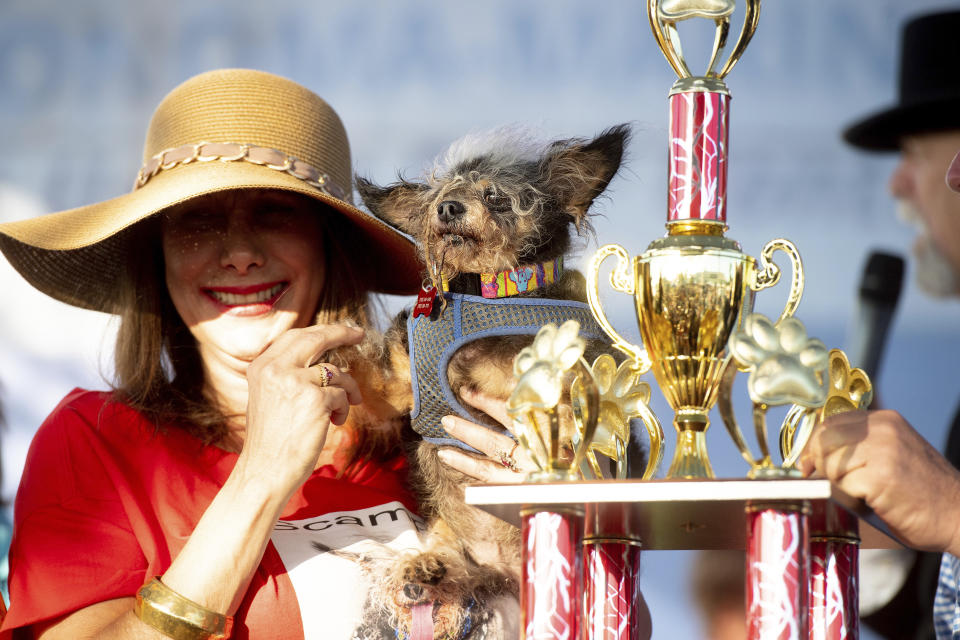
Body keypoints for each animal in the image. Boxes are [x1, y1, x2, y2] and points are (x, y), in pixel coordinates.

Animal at [348, 122, 628, 632]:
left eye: (495, 195)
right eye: (440, 196)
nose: (448, 208)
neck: (484, 293)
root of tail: (504, 567)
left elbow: (564, 396)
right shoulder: (395, 387)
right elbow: (358, 371)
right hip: (450, 538)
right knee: (450, 560)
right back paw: (428, 567)